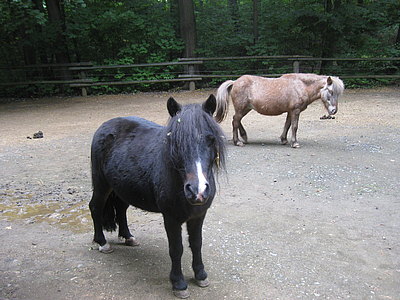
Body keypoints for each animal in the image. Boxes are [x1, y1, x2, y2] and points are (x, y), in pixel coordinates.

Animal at [88, 95, 225, 298]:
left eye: (210, 139)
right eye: (176, 141)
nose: (197, 191)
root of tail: (105, 126)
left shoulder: (198, 216)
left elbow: (196, 243)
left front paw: (201, 275)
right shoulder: (171, 218)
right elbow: (176, 249)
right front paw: (179, 284)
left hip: (122, 189)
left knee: (121, 209)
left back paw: (128, 237)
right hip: (101, 184)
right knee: (95, 207)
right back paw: (102, 243)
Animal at [216, 73, 344, 148]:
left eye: (338, 94)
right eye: (331, 91)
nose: (333, 111)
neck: (301, 85)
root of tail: (235, 82)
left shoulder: (290, 111)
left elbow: (287, 125)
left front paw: (284, 140)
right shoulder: (295, 111)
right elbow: (294, 126)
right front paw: (294, 143)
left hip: (245, 109)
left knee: (237, 121)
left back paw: (244, 137)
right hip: (241, 108)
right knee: (235, 121)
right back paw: (237, 141)